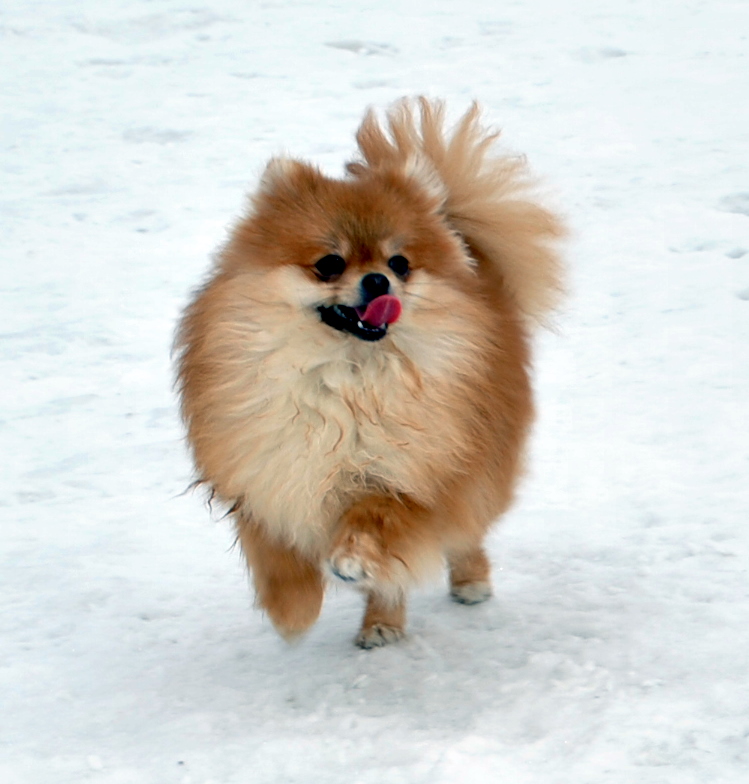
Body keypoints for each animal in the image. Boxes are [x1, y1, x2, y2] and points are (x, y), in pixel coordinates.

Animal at [175, 98, 564, 648]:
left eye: (399, 263)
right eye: (329, 264)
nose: (379, 280)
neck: (345, 374)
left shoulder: (405, 476)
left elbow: (375, 521)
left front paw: (351, 560)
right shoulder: (265, 473)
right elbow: (275, 555)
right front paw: (292, 610)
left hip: (477, 468)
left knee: (461, 531)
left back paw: (451, 589)